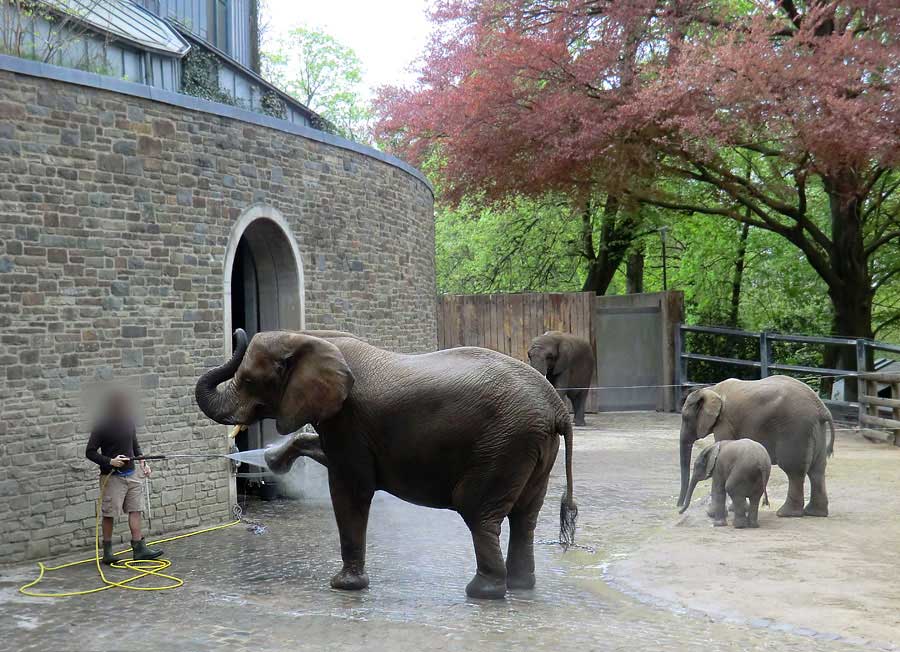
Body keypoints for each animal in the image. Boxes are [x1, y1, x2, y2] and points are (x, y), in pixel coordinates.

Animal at [196, 328, 576, 600]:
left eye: (249, 380)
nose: (238, 330)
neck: (307, 337)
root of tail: (556, 408)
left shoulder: (349, 418)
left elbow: (350, 487)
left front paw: (343, 586)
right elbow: (326, 455)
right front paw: (273, 460)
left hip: (504, 444)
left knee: (478, 512)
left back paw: (483, 592)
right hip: (533, 447)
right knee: (525, 516)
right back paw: (520, 586)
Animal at [680, 376, 832, 520]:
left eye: (685, 418)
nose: (679, 507)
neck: (711, 390)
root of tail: (822, 409)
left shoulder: (724, 422)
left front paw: (712, 513)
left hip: (796, 428)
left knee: (794, 470)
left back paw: (786, 514)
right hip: (817, 429)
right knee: (817, 470)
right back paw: (815, 513)